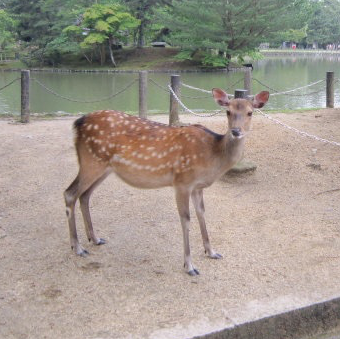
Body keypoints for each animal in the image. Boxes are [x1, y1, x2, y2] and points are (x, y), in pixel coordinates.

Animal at [64, 88, 268, 276]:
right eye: (228, 111)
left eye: (250, 112)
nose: (236, 131)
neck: (212, 156)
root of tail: (78, 122)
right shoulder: (182, 182)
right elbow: (185, 219)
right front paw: (189, 266)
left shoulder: (198, 187)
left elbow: (201, 213)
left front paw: (211, 252)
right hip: (91, 161)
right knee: (70, 193)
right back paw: (78, 247)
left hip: (104, 167)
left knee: (84, 195)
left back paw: (95, 239)